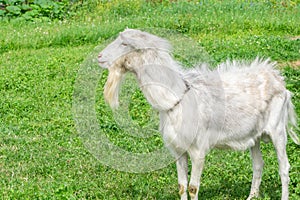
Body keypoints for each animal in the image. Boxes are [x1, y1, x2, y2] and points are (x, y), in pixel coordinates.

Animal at [97, 28, 298, 200]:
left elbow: (193, 187)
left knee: (284, 168)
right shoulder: (178, 150)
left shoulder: (198, 149)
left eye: (125, 43)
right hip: (254, 136)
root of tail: (278, 79)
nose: (99, 57)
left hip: (278, 130)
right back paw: (251, 196)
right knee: (258, 165)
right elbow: (181, 186)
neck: (177, 98)